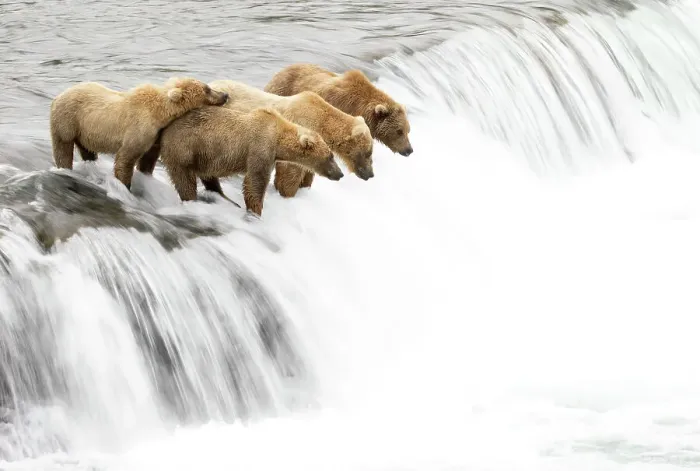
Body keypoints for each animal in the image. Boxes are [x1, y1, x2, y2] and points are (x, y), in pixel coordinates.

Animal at [49, 77, 229, 190]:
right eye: (207, 89)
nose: (225, 95)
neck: (160, 113)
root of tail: (57, 97)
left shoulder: (156, 134)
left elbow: (148, 158)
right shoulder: (139, 128)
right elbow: (126, 158)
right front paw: (124, 186)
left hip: (83, 131)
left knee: (86, 150)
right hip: (67, 120)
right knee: (63, 148)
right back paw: (65, 168)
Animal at [152, 106, 344, 216]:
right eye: (330, 156)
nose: (340, 174)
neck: (278, 139)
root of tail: (164, 130)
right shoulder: (260, 148)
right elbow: (255, 182)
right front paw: (256, 210)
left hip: (204, 155)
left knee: (209, 177)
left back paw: (225, 198)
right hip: (183, 148)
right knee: (185, 179)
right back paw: (192, 199)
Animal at [208, 79, 374, 198]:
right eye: (369, 152)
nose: (371, 174)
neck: (321, 123)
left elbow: (309, 170)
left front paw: (305, 185)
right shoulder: (300, 131)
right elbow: (290, 174)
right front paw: (288, 192)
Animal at [264, 64, 413, 157]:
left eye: (408, 130)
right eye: (399, 131)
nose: (409, 150)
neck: (360, 107)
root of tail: (281, 70)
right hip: (282, 89)